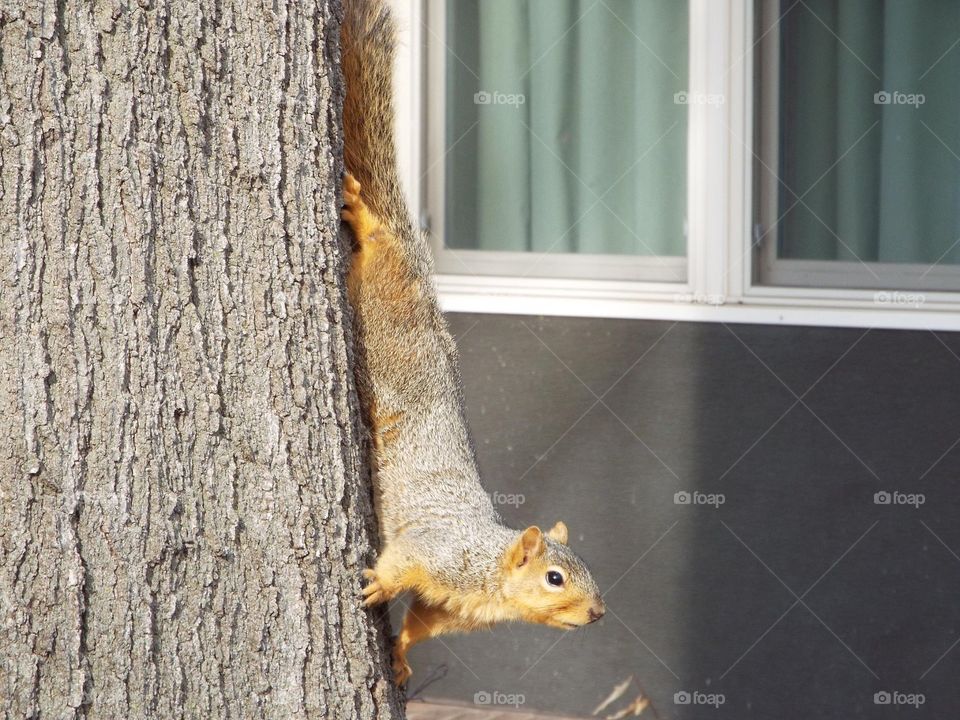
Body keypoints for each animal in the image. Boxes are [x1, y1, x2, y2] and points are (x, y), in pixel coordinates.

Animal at [339, 0, 605, 686]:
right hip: (388, 321)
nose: (599, 614)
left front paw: (401, 660)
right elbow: (402, 562)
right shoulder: (438, 554)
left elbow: (419, 625)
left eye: (590, 571)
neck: (487, 579)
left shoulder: (446, 606)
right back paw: (369, 215)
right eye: (555, 577)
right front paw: (376, 586)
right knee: (381, 248)